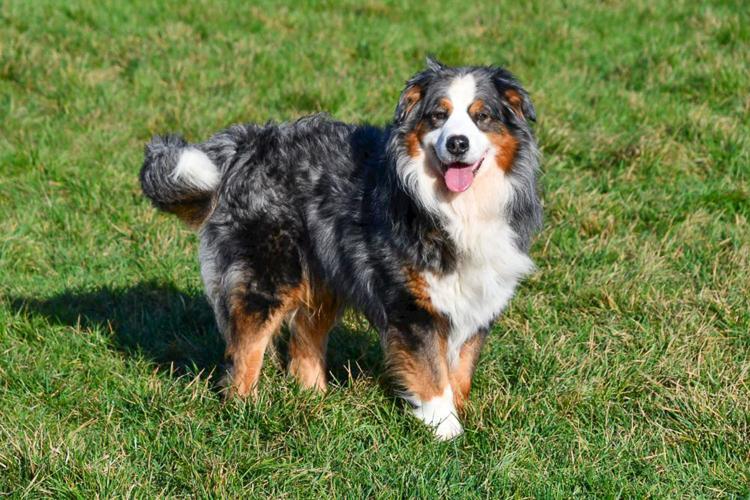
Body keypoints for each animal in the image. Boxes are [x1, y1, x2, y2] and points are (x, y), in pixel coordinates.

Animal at [140, 58, 540, 440]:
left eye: (482, 116)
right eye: (438, 115)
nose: (457, 143)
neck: (456, 207)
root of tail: (245, 145)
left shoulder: (476, 293)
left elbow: (461, 368)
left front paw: (459, 413)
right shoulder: (411, 304)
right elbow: (432, 372)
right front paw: (446, 431)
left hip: (323, 275)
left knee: (304, 341)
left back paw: (315, 402)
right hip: (267, 275)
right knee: (245, 352)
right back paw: (248, 412)